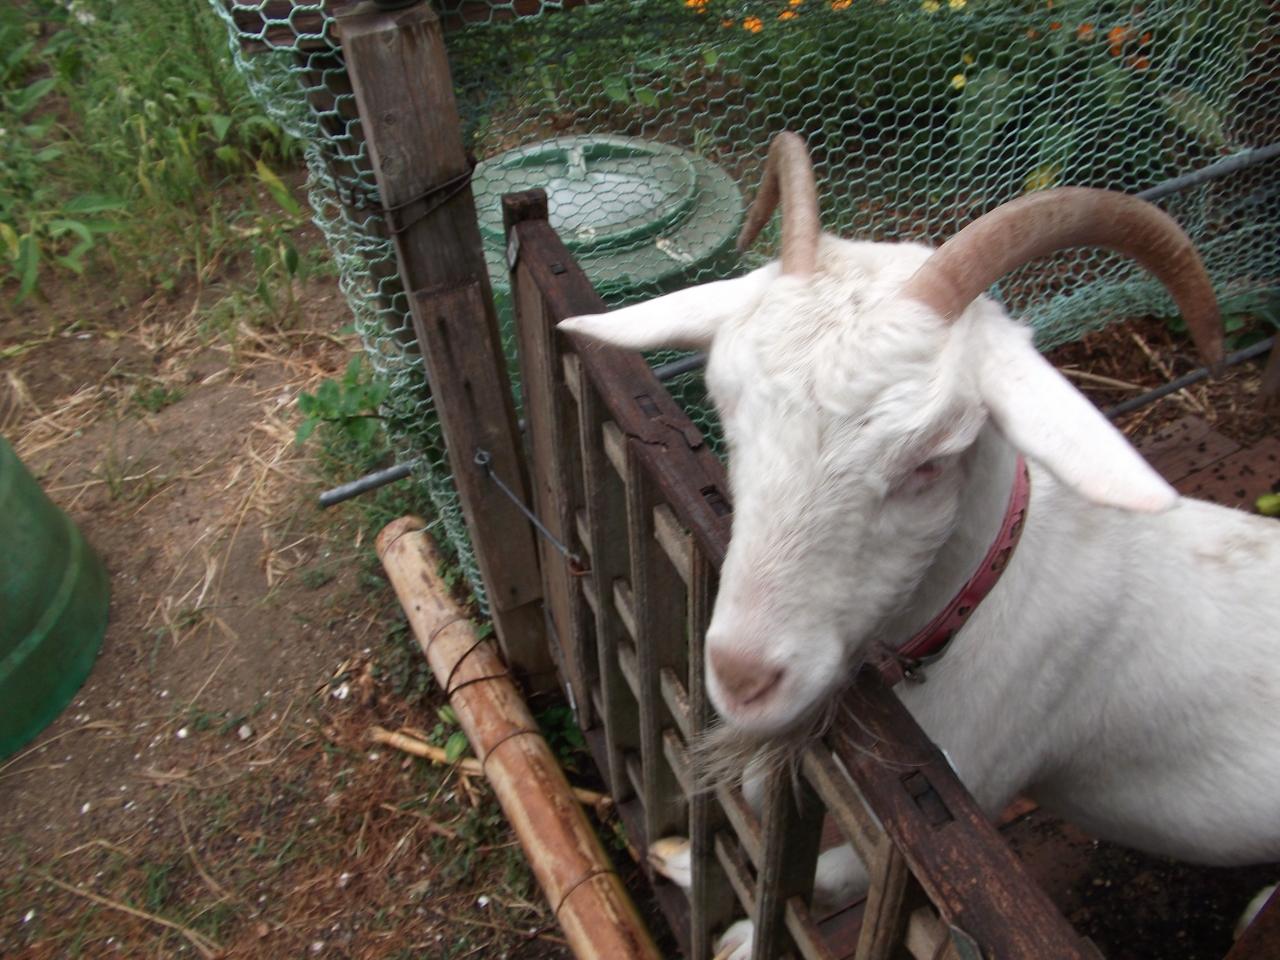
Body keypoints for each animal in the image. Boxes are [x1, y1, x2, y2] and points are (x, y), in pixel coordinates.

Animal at [559, 132, 1280, 957]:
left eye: (932, 459)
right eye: (724, 403)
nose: (744, 677)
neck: (984, 596)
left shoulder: (981, 779)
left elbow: (842, 873)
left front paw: (738, 934)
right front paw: (683, 856)